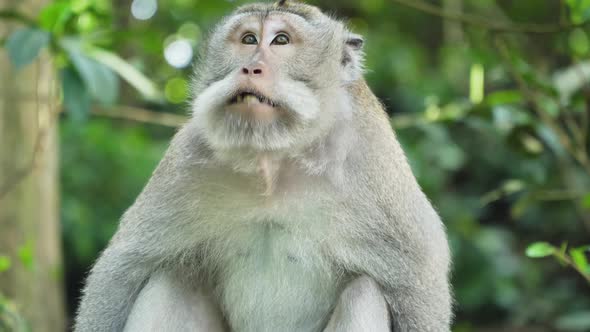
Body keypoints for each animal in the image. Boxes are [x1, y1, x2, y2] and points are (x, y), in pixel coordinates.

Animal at [74, 1, 454, 330]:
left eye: (281, 40)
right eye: (248, 40)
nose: (250, 66)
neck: (274, 157)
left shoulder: (373, 163)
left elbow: (416, 281)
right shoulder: (186, 158)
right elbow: (122, 270)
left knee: (364, 292)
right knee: (171, 279)